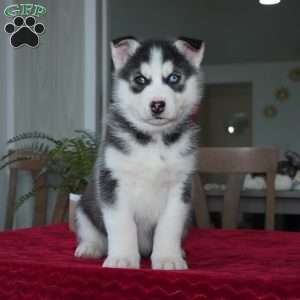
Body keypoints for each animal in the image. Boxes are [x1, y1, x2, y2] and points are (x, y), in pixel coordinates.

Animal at [75, 37, 206, 270]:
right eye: (140, 79)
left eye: (174, 77)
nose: (157, 104)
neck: (153, 140)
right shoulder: (112, 182)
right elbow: (122, 225)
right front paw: (122, 258)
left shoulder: (180, 187)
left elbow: (169, 226)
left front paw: (168, 258)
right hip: (83, 209)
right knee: (92, 232)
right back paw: (90, 247)